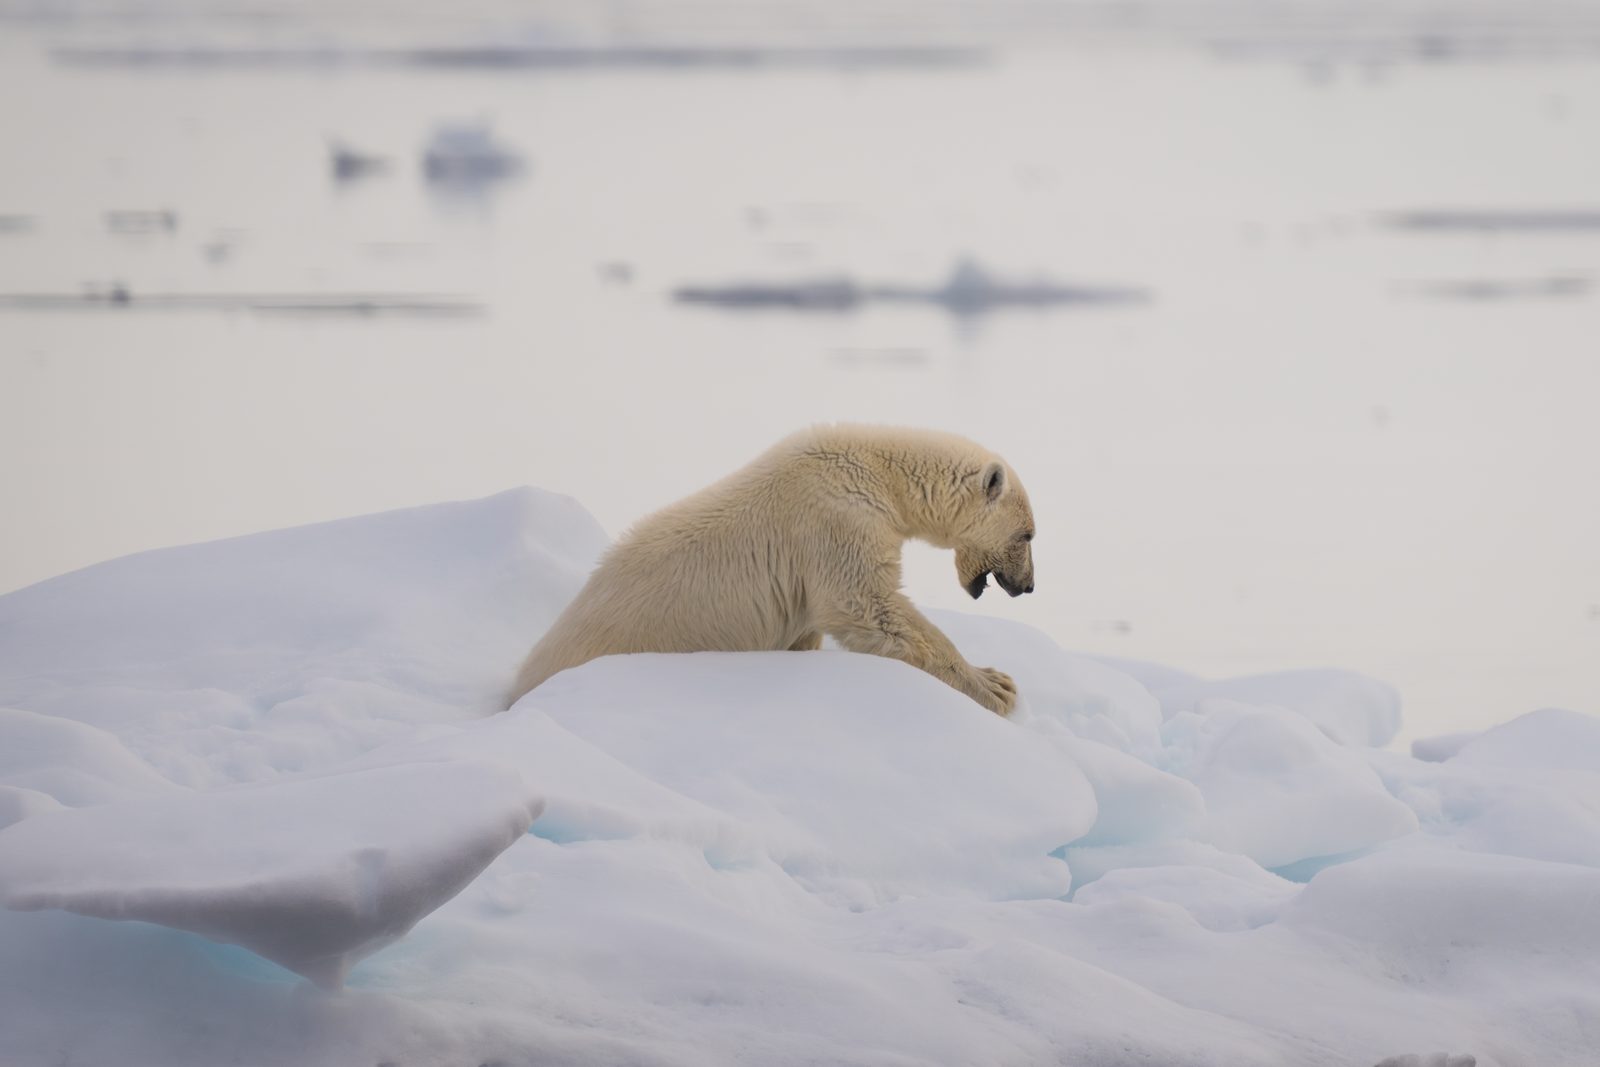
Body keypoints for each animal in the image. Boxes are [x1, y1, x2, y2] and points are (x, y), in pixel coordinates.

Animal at [506, 424, 1036, 714]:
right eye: (1027, 536)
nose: (1028, 587)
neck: (876, 470)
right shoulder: (836, 520)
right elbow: (869, 608)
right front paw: (996, 685)